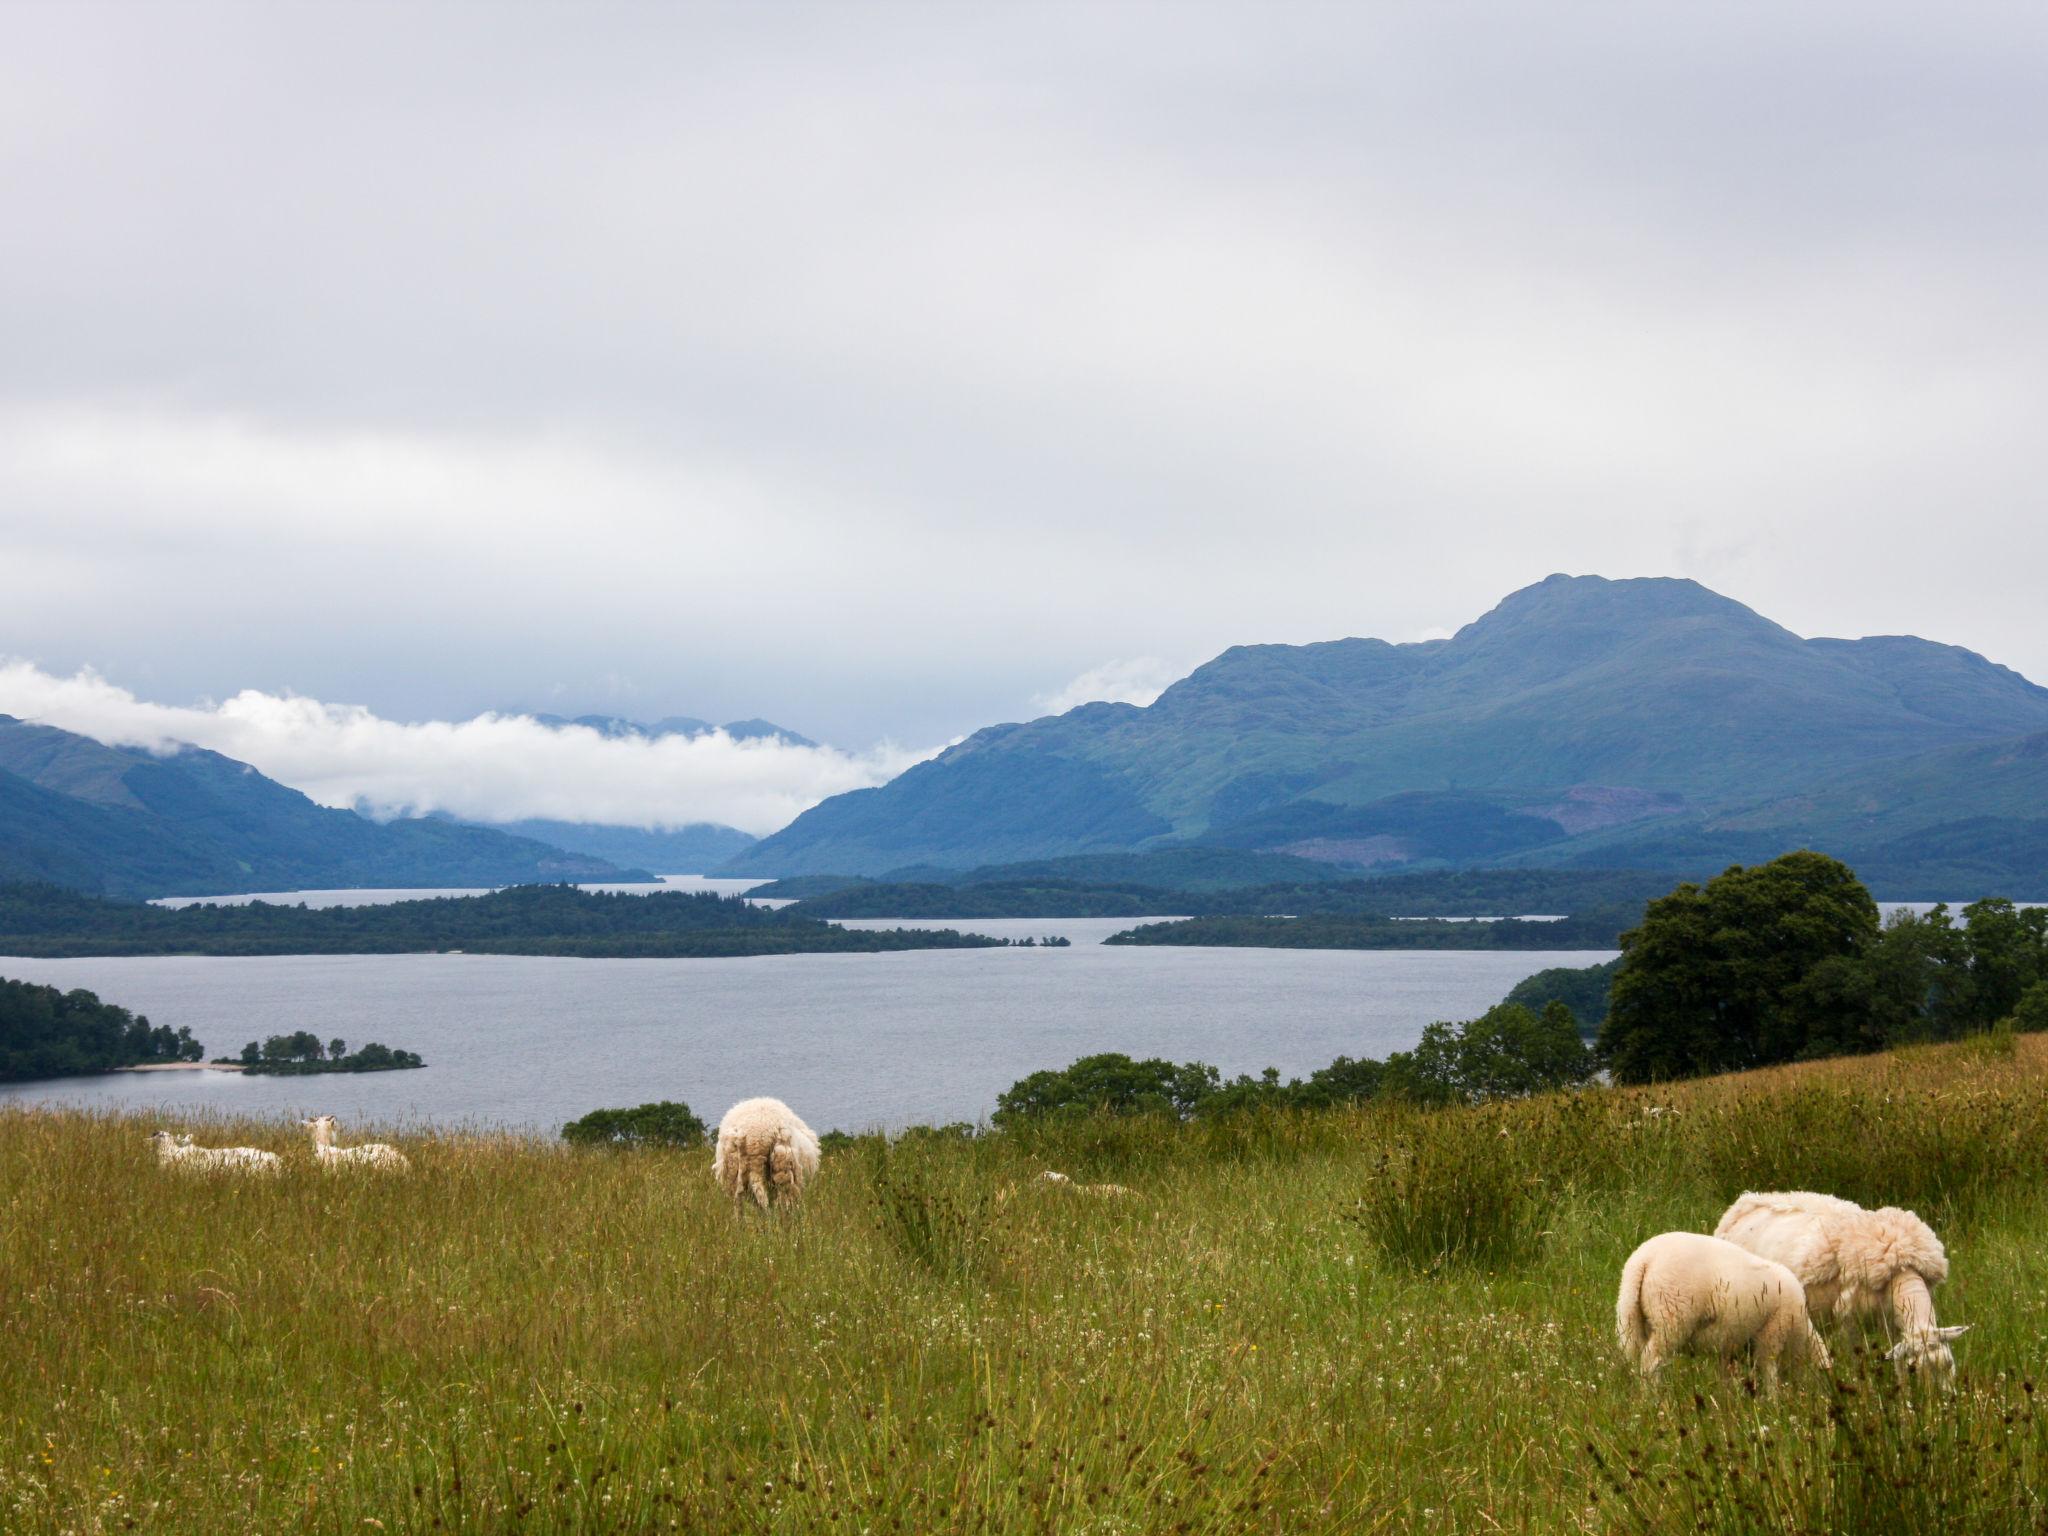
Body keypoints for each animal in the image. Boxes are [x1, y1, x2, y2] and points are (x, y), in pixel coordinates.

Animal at [1613, 1236, 1843, 1392]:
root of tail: (1643, 1260)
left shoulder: (1729, 1346)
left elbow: (1726, 1376)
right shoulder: (1772, 1332)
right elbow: (1768, 1370)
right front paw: (1773, 1403)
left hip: (1634, 1318)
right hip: (1671, 1317)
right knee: (1650, 1361)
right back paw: (1655, 1397)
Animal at [1712, 1187, 1966, 1384]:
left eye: (1949, 1365)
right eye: (1918, 1371)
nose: (1943, 1406)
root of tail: (1744, 1202)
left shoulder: (1895, 1322)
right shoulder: (1849, 1322)